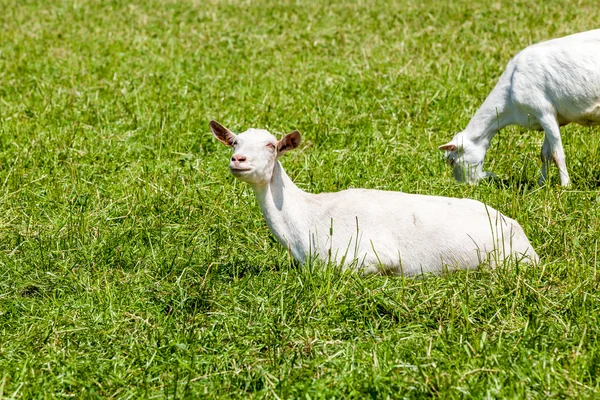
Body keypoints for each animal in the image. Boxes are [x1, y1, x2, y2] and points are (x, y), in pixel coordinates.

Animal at [211, 119, 540, 276]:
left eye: (271, 146)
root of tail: (516, 228)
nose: (238, 159)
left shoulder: (366, 256)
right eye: (235, 141)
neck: (307, 217)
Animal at [438, 29, 600, 186]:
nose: (466, 186)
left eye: (452, 161)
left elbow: (557, 154)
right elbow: (545, 154)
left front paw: (566, 186)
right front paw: (541, 185)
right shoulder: (549, 117)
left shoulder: (544, 111)